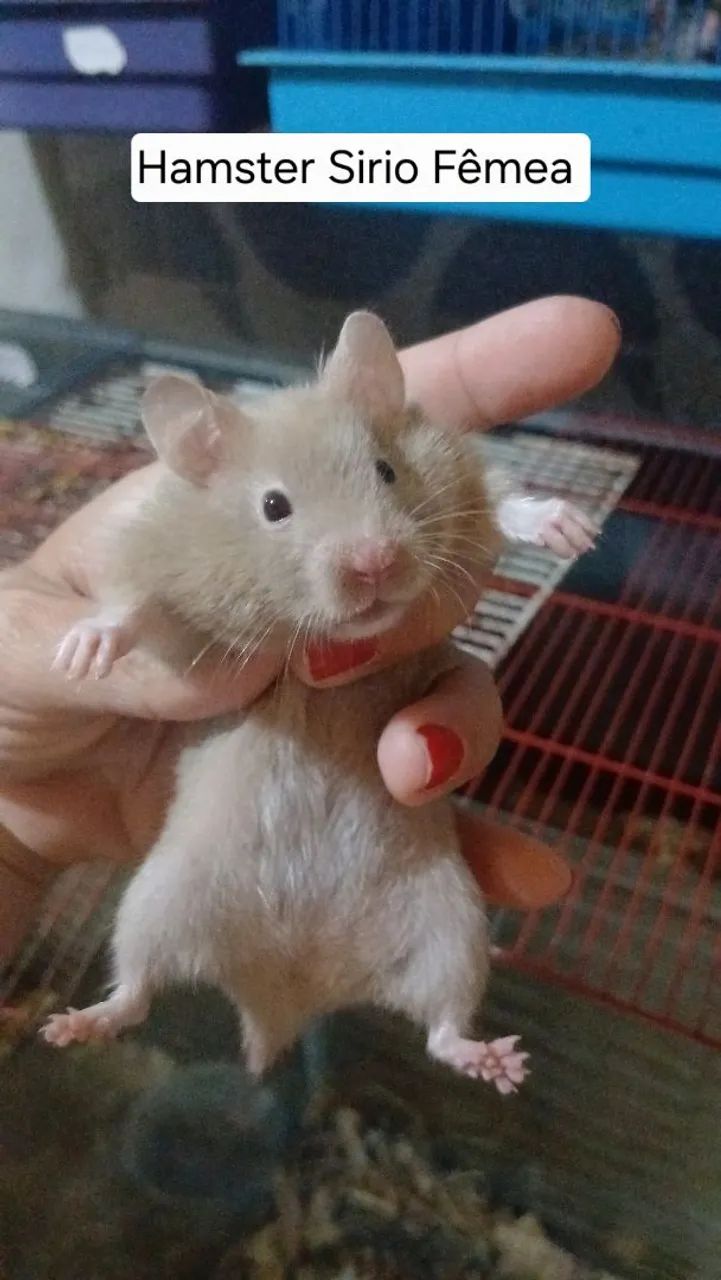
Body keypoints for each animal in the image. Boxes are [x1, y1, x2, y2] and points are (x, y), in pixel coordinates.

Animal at [41, 312, 595, 1095]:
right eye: (274, 507)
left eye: (386, 471)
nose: (374, 563)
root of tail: (290, 992)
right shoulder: (168, 586)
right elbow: (132, 610)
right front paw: (80, 656)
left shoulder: (461, 484)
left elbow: (500, 503)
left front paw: (570, 529)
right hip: (156, 902)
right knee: (136, 992)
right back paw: (66, 1027)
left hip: (450, 931)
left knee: (442, 1029)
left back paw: (501, 1064)